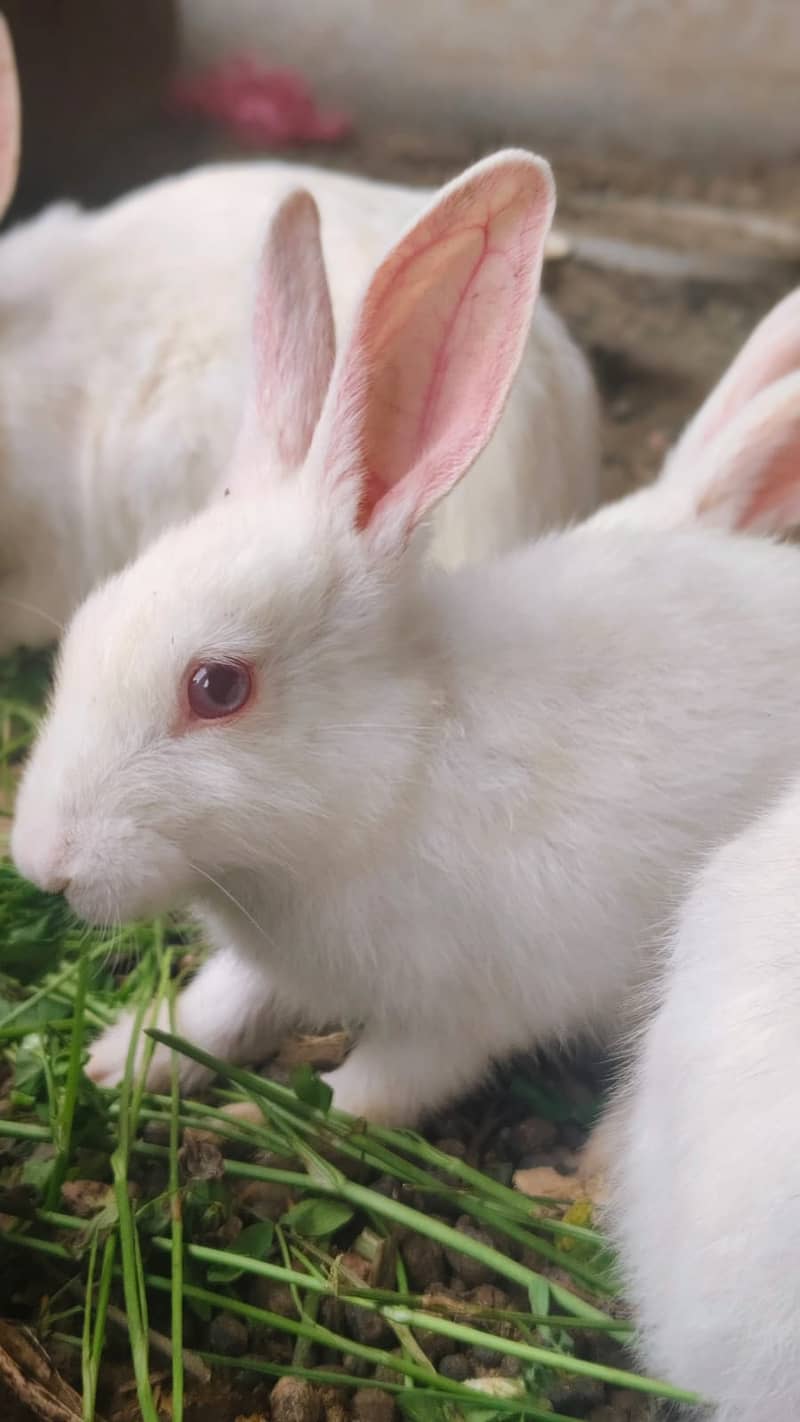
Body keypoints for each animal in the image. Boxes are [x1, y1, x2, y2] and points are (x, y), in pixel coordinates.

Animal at [13, 148, 800, 1128]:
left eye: (217, 687)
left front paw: (258, 1120)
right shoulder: (262, 967)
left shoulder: (462, 1018)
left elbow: (374, 1091)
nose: (42, 864)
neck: (400, 771)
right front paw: (120, 1062)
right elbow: (221, 1004)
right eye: (87, 624)